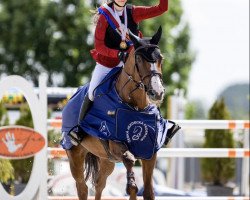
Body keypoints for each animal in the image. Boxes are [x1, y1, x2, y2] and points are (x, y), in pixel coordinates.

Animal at [62, 27, 179, 200]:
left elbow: (149, 191)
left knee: (99, 184)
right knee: (82, 187)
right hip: (75, 155)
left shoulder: (150, 152)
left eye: (161, 59)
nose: (157, 93)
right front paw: (131, 186)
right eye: (138, 59)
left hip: (107, 160)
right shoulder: (116, 144)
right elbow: (132, 180)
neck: (136, 106)